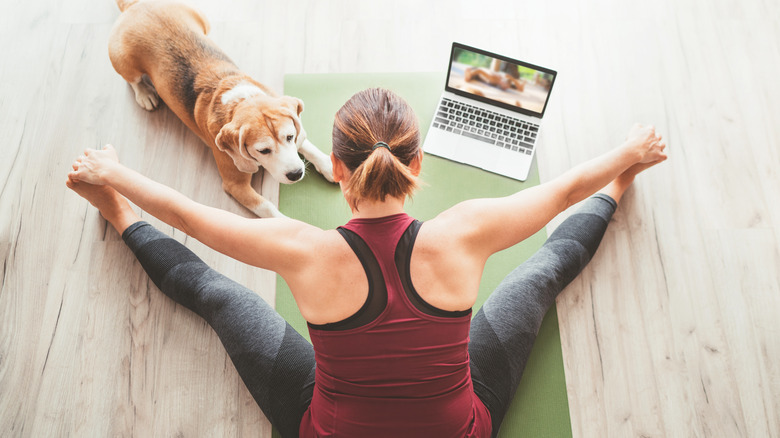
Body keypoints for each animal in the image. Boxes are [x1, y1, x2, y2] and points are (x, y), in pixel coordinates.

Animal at [106, 0, 332, 218]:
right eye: (263, 151)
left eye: (290, 137)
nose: (296, 174)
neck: (239, 100)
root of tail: (134, 5)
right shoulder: (235, 185)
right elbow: (269, 209)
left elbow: (307, 145)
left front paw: (329, 165)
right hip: (124, 62)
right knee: (133, 80)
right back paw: (145, 94)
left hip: (203, 21)